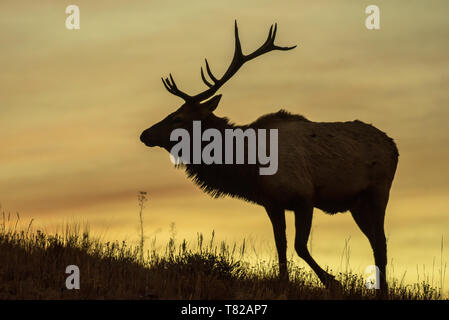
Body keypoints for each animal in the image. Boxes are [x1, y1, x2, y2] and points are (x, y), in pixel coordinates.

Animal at [141, 21, 400, 292]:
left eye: (177, 118)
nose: (144, 134)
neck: (251, 167)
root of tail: (393, 146)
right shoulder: (272, 203)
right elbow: (281, 245)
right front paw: (284, 282)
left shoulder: (304, 196)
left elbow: (300, 246)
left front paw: (333, 282)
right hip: (356, 203)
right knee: (375, 241)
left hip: (378, 190)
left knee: (381, 242)